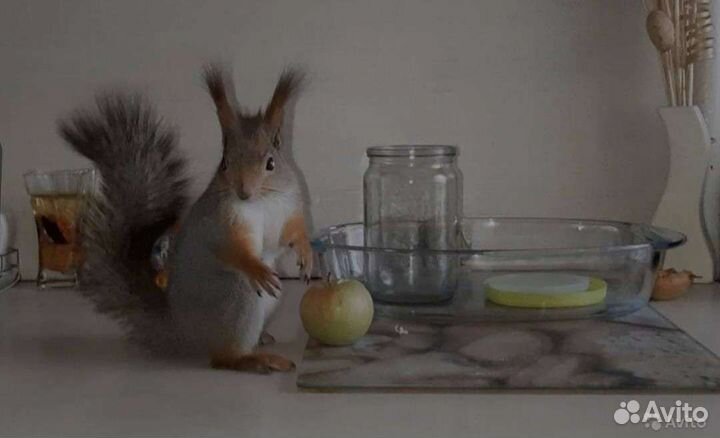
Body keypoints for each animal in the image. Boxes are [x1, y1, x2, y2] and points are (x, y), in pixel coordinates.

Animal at [58, 64, 312, 373]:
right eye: (224, 163)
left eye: (271, 163)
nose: (243, 192)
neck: (261, 202)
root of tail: (184, 333)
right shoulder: (219, 223)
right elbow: (230, 249)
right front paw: (256, 267)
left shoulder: (289, 207)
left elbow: (292, 233)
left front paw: (306, 253)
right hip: (235, 294)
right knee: (222, 358)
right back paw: (254, 360)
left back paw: (262, 340)